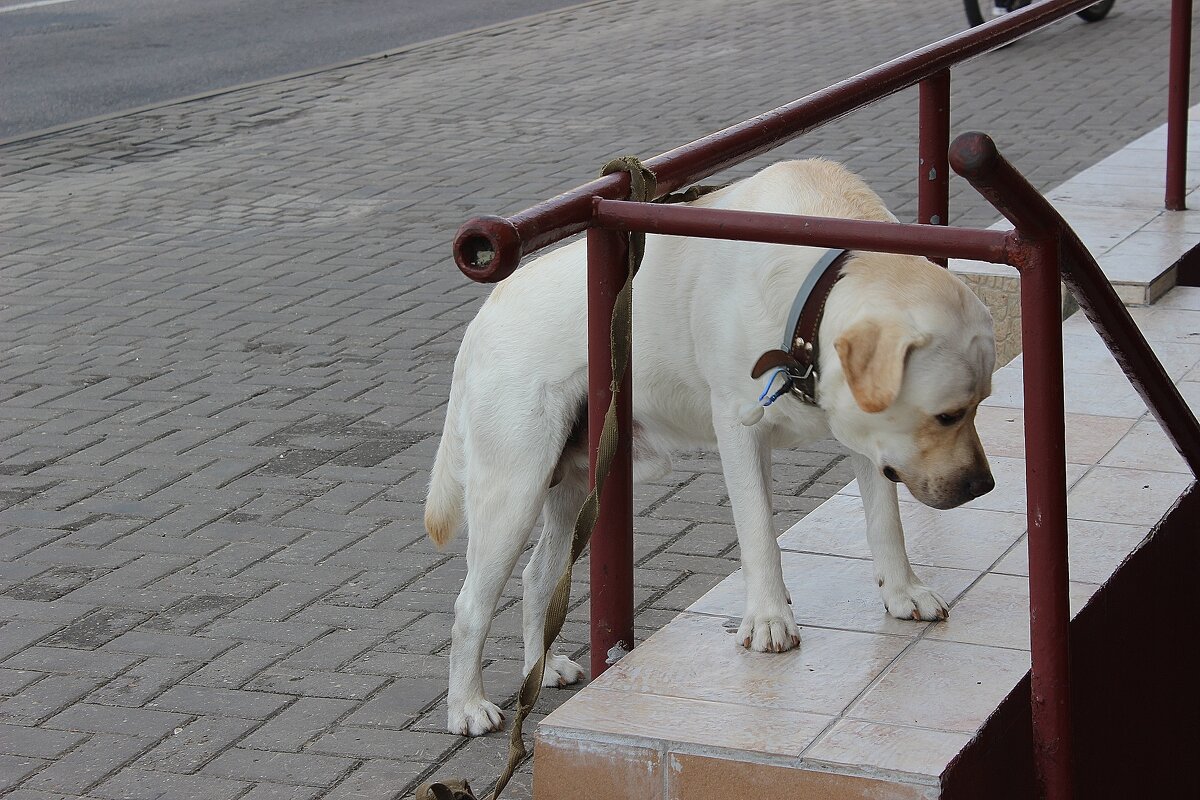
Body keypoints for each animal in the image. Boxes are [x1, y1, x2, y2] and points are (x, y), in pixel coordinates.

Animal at [427, 158, 998, 738]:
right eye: (947, 415)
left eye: (980, 403)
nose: (984, 486)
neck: (808, 305)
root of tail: (481, 319)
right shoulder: (739, 425)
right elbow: (759, 533)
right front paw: (769, 620)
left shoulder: (865, 432)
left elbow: (886, 520)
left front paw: (903, 592)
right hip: (514, 490)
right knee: (469, 605)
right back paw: (467, 706)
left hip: (575, 485)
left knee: (539, 577)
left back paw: (540, 672)